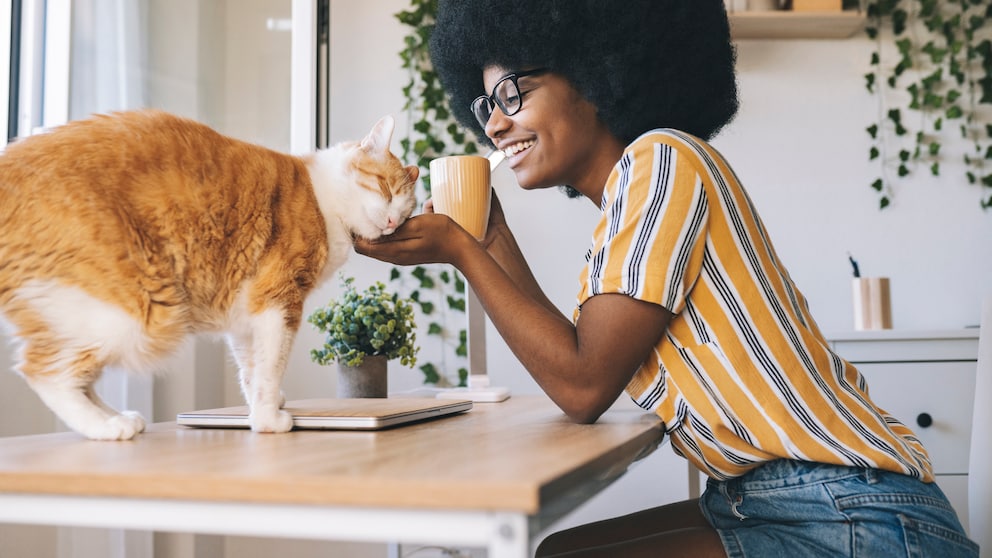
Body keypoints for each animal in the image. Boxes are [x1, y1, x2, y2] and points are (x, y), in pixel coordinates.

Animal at [0, 109, 416, 442]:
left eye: (406, 213)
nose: (392, 222)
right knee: (45, 372)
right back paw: (106, 427)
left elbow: (252, 368)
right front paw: (268, 420)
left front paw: (262, 408)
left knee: (72, 374)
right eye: (385, 188)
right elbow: (269, 368)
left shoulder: (248, 312)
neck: (324, 200)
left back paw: (118, 419)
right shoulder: (278, 300)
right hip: (137, 313)